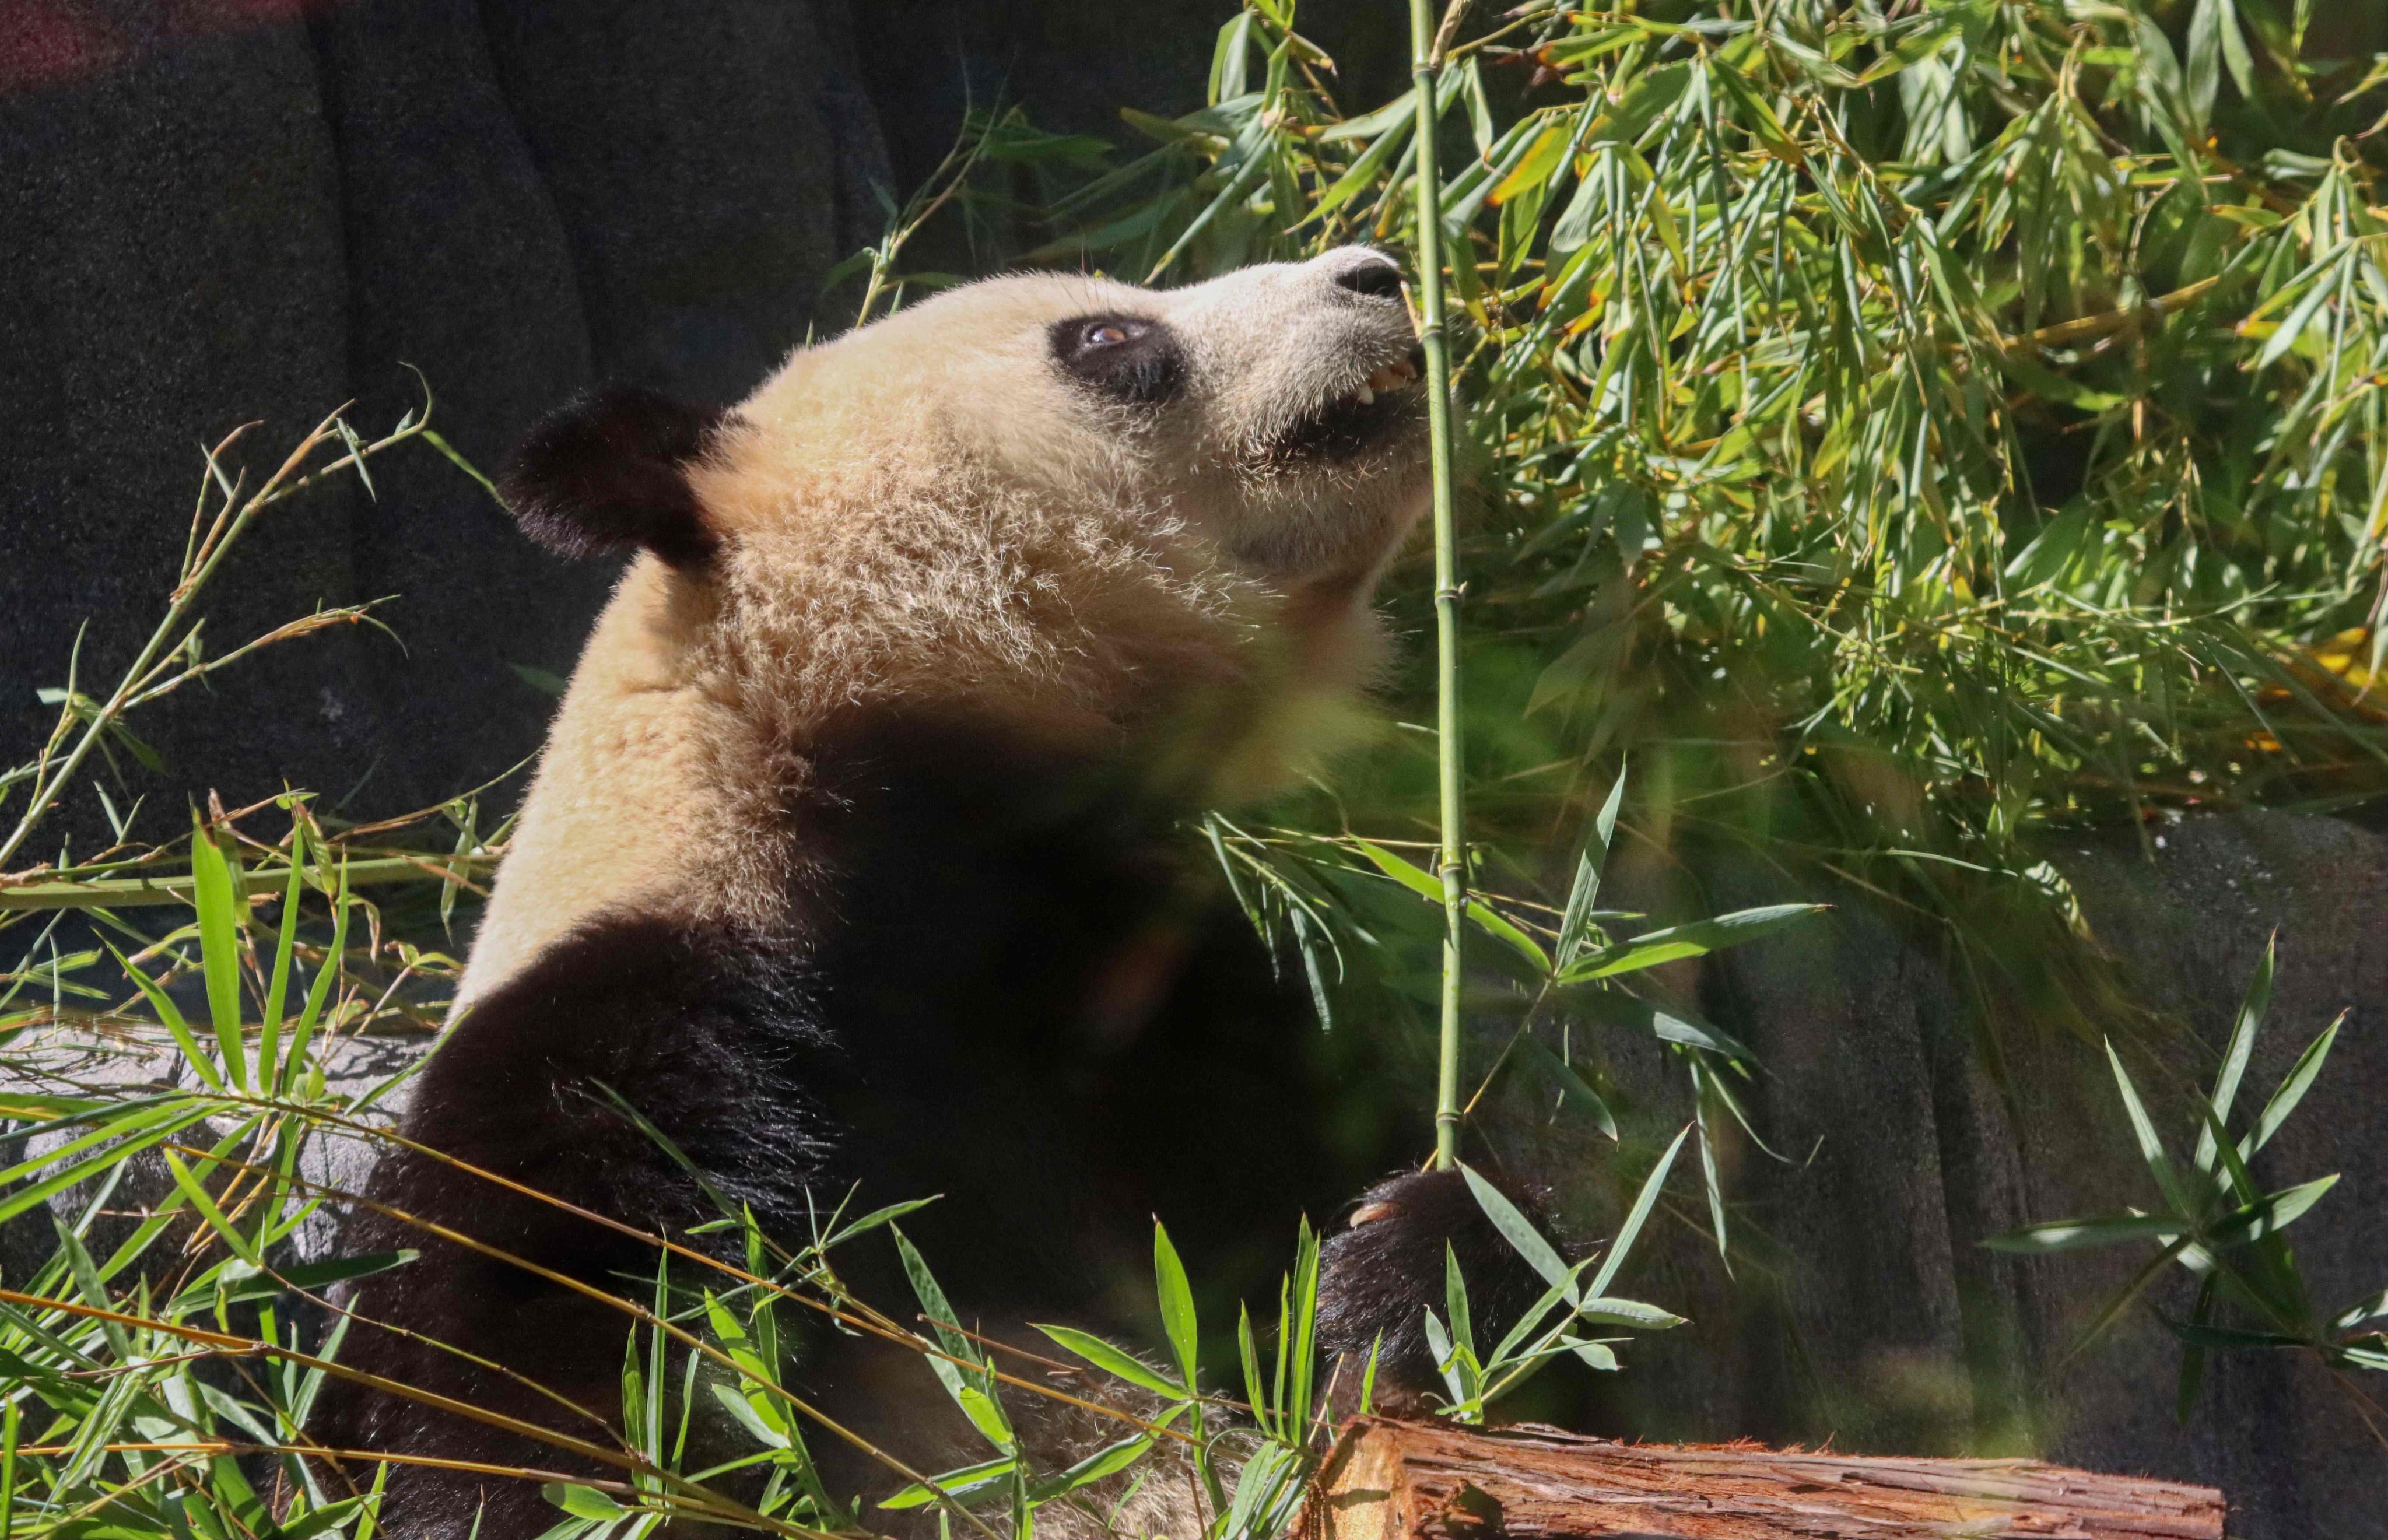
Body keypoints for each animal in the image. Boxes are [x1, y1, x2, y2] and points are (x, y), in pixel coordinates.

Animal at [317, 245, 1547, 1528]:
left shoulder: (1144, 997)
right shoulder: (620, 1038)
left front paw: (1409, 1264)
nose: (1375, 269)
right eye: (1107, 338)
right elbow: (534, 1400)